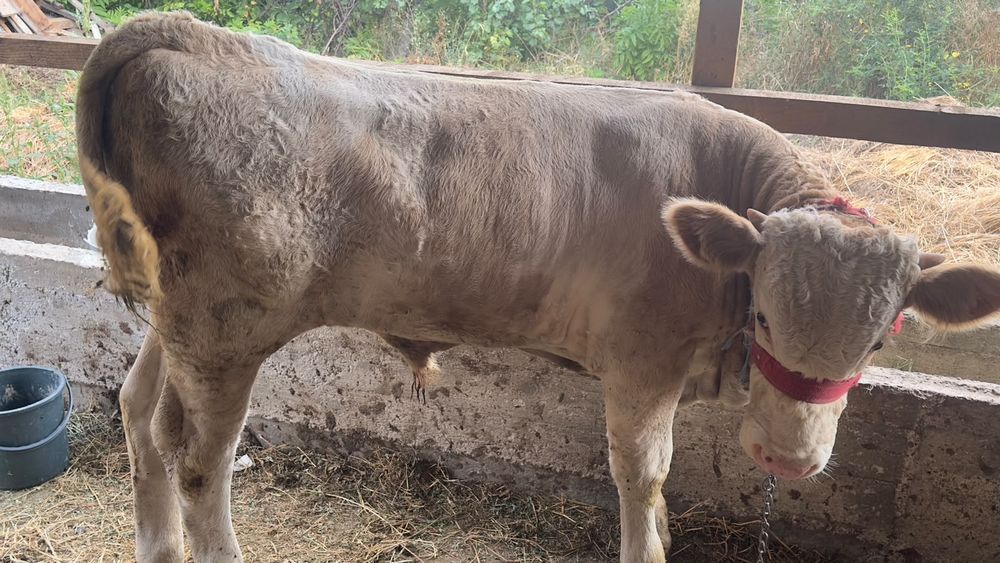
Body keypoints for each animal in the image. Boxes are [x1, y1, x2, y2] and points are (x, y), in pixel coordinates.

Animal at [76, 12, 1000, 562]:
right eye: (766, 313)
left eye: (880, 337)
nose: (789, 459)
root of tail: (196, 35)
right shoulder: (640, 363)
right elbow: (643, 472)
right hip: (226, 327)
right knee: (201, 460)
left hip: (177, 319)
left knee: (141, 413)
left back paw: (157, 545)